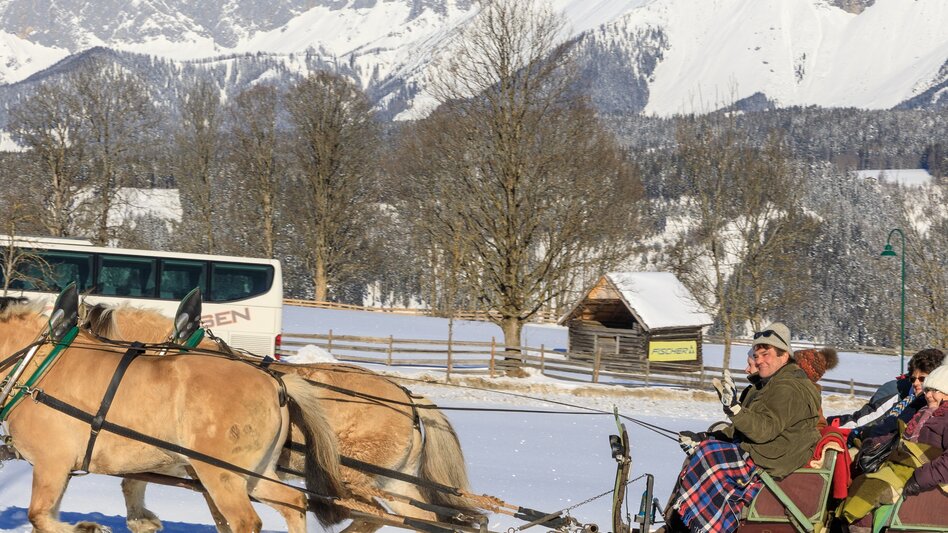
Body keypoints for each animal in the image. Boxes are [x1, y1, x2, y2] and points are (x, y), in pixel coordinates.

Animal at [0, 298, 347, 533]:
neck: (39, 368)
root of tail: (275, 382)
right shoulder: (60, 469)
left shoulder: (52, 463)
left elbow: (38, 515)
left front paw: (91, 527)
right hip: (254, 474)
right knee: (293, 502)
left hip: (222, 475)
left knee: (246, 521)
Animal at [83, 302, 482, 533]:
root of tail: (409, 399)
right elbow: (135, 482)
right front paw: (142, 519)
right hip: (395, 482)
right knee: (416, 520)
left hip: (354, 478)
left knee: (370, 515)